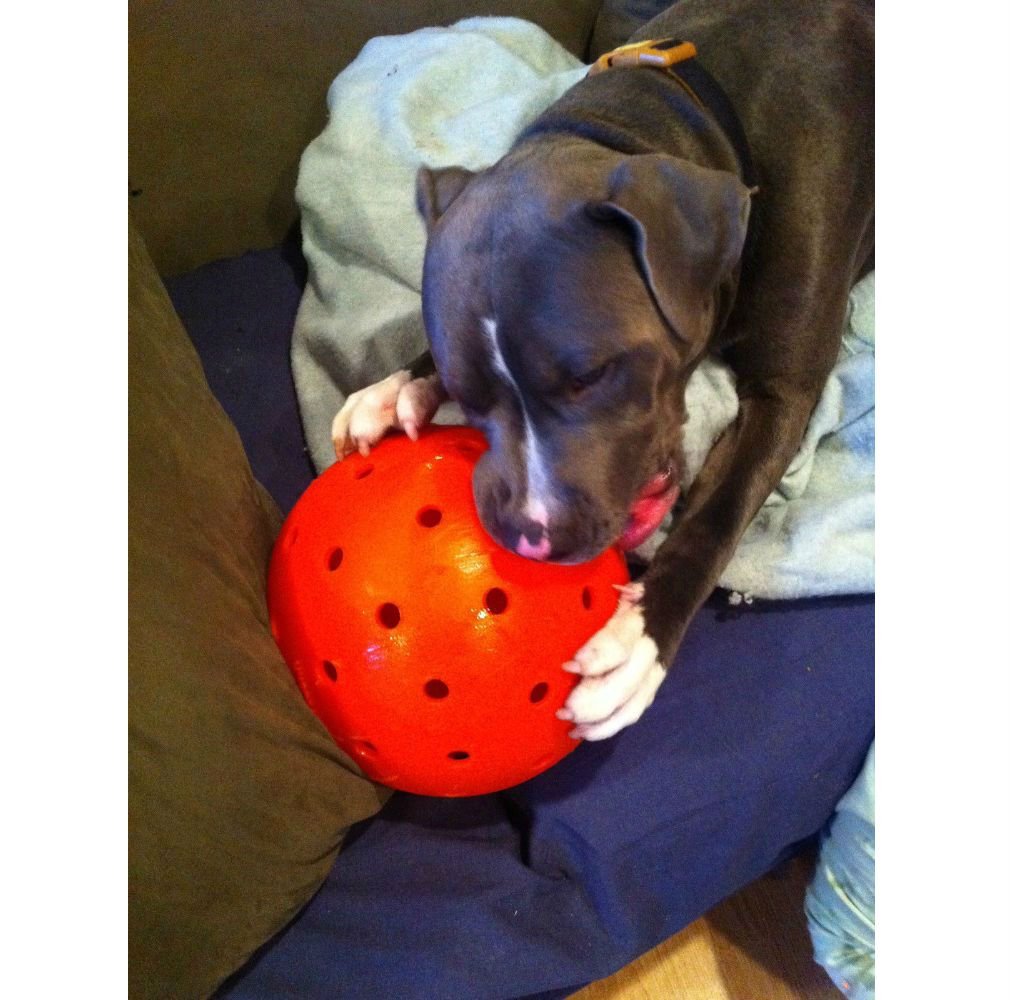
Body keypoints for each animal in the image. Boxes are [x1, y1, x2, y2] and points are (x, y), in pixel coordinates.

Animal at [331, 1, 868, 743]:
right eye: (466, 395)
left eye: (590, 377)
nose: (531, 537)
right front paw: (392, 389)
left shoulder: (786, 390)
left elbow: (716, 515)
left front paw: (640, 640)